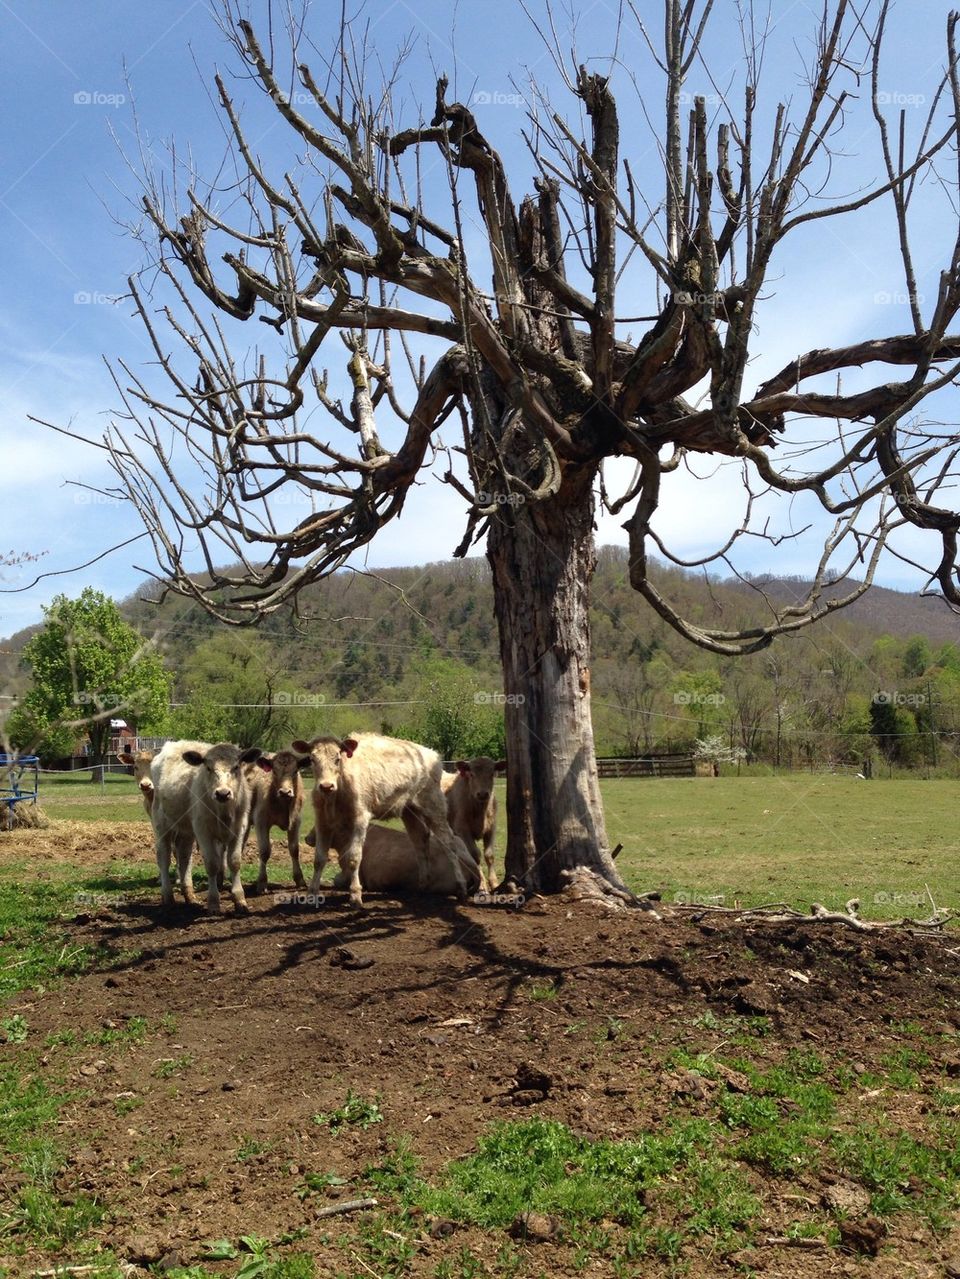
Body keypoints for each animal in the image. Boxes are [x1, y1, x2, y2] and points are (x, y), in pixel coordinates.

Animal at [151, 740, 263, 913]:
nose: (223, 793)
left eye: (236, 767)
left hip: (186, 830)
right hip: (162, 824)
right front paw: (214, 902)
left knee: (184, 857)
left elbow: (235, 862)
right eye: (208, 768)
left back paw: (189, 895)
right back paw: (168, 897)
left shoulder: (239, 829)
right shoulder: (203, 831)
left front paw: (240, 900)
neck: (224, 813)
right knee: (164, 857)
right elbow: (212, 864)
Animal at [244, 749, 308, 894]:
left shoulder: (296, 822)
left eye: (295, 771)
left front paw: (300, 879)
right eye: (274, 771)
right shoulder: (261, 821)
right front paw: (262, 883)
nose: (285, 792)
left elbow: (294, 849)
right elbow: (264, 851)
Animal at [292, 732, 471, 908]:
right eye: (312, 759)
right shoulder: (322, 821)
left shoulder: (360, 819)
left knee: (449, 843)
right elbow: (319, 859)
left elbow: (354, 857)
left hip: (434, 805)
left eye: (337, 759)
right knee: (420, 842)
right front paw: (312, 894)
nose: (326, 786)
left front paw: (355, 896)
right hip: (409, 811)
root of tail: (432, 754)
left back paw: (461, 888)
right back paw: (422, 886)